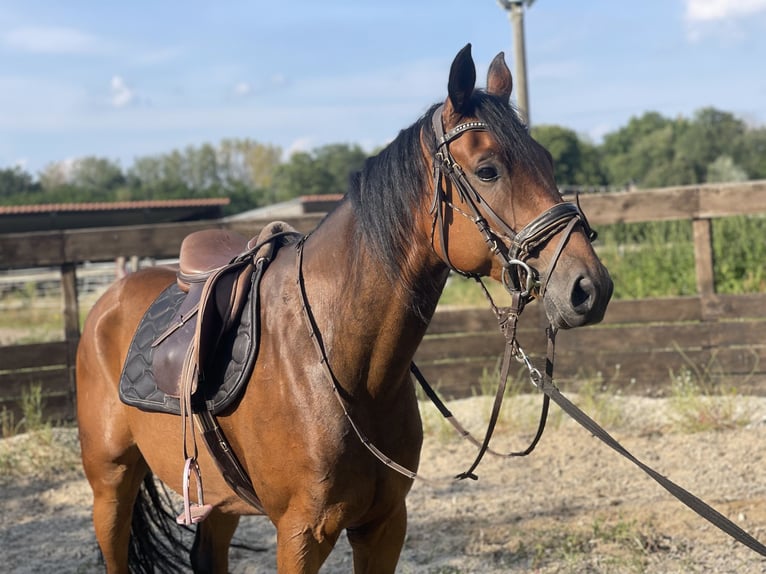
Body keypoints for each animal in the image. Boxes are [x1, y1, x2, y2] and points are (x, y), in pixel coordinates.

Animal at [76, 46, 612, 574]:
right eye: (487, 170)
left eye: (547, 160)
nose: (590, 288)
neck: (338, 364)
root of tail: (107, 300)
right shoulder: (300, 535)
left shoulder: (385, 524)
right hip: (111, 484)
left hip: (218, 501)